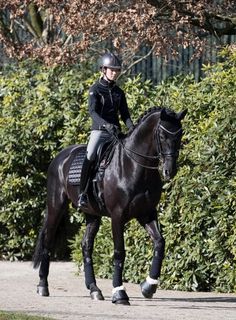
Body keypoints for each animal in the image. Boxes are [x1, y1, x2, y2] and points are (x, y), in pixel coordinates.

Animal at [33, 107, 187, 304]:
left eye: (180, 133)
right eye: (162, 135)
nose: (169, 170)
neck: (134, 165)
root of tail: (60, 157)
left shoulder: (147, 213)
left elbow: (160, 243)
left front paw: (148, 286)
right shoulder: (117, 216)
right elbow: (119, 252)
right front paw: (119, 293)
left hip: (92, 214)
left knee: (86, 246)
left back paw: (94, 289)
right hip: (56, 207)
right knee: (48, 241)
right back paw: (42, 286)